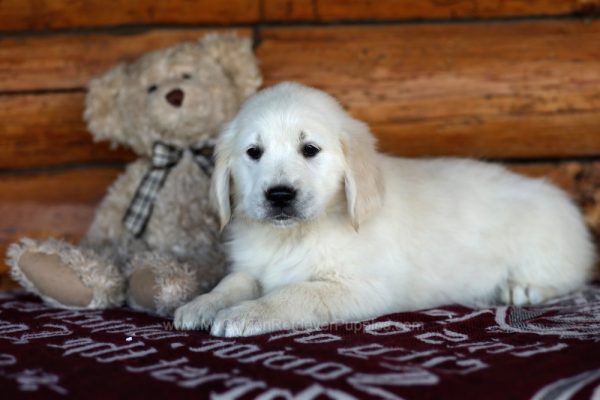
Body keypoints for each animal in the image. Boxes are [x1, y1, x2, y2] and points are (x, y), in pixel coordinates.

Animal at [173, 80, 596, 334]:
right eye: (253, 152)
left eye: (310, 149)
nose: (279, 195)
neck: (294, 236)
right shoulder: (253, 268)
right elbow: (234, 282)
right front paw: (203, 304)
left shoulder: (361, 286)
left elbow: (292, 294)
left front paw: (246, 314)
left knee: (567, 275)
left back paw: (522, 288)